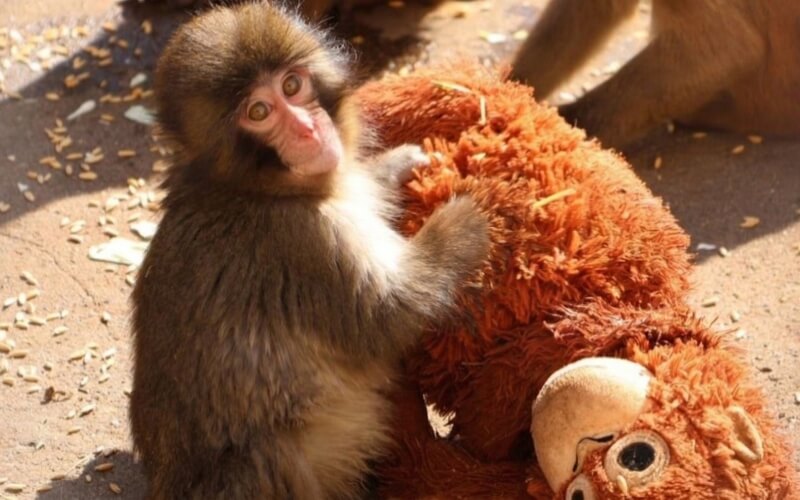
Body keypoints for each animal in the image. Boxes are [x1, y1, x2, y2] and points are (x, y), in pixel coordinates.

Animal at [129, 3, 490, 499]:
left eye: (291, 86)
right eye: (259, 111)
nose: (306, 128)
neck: (256, 189)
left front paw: (396, 165)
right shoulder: (303, 241)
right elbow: (387, 316)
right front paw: (473, 215)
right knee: (266, 453)